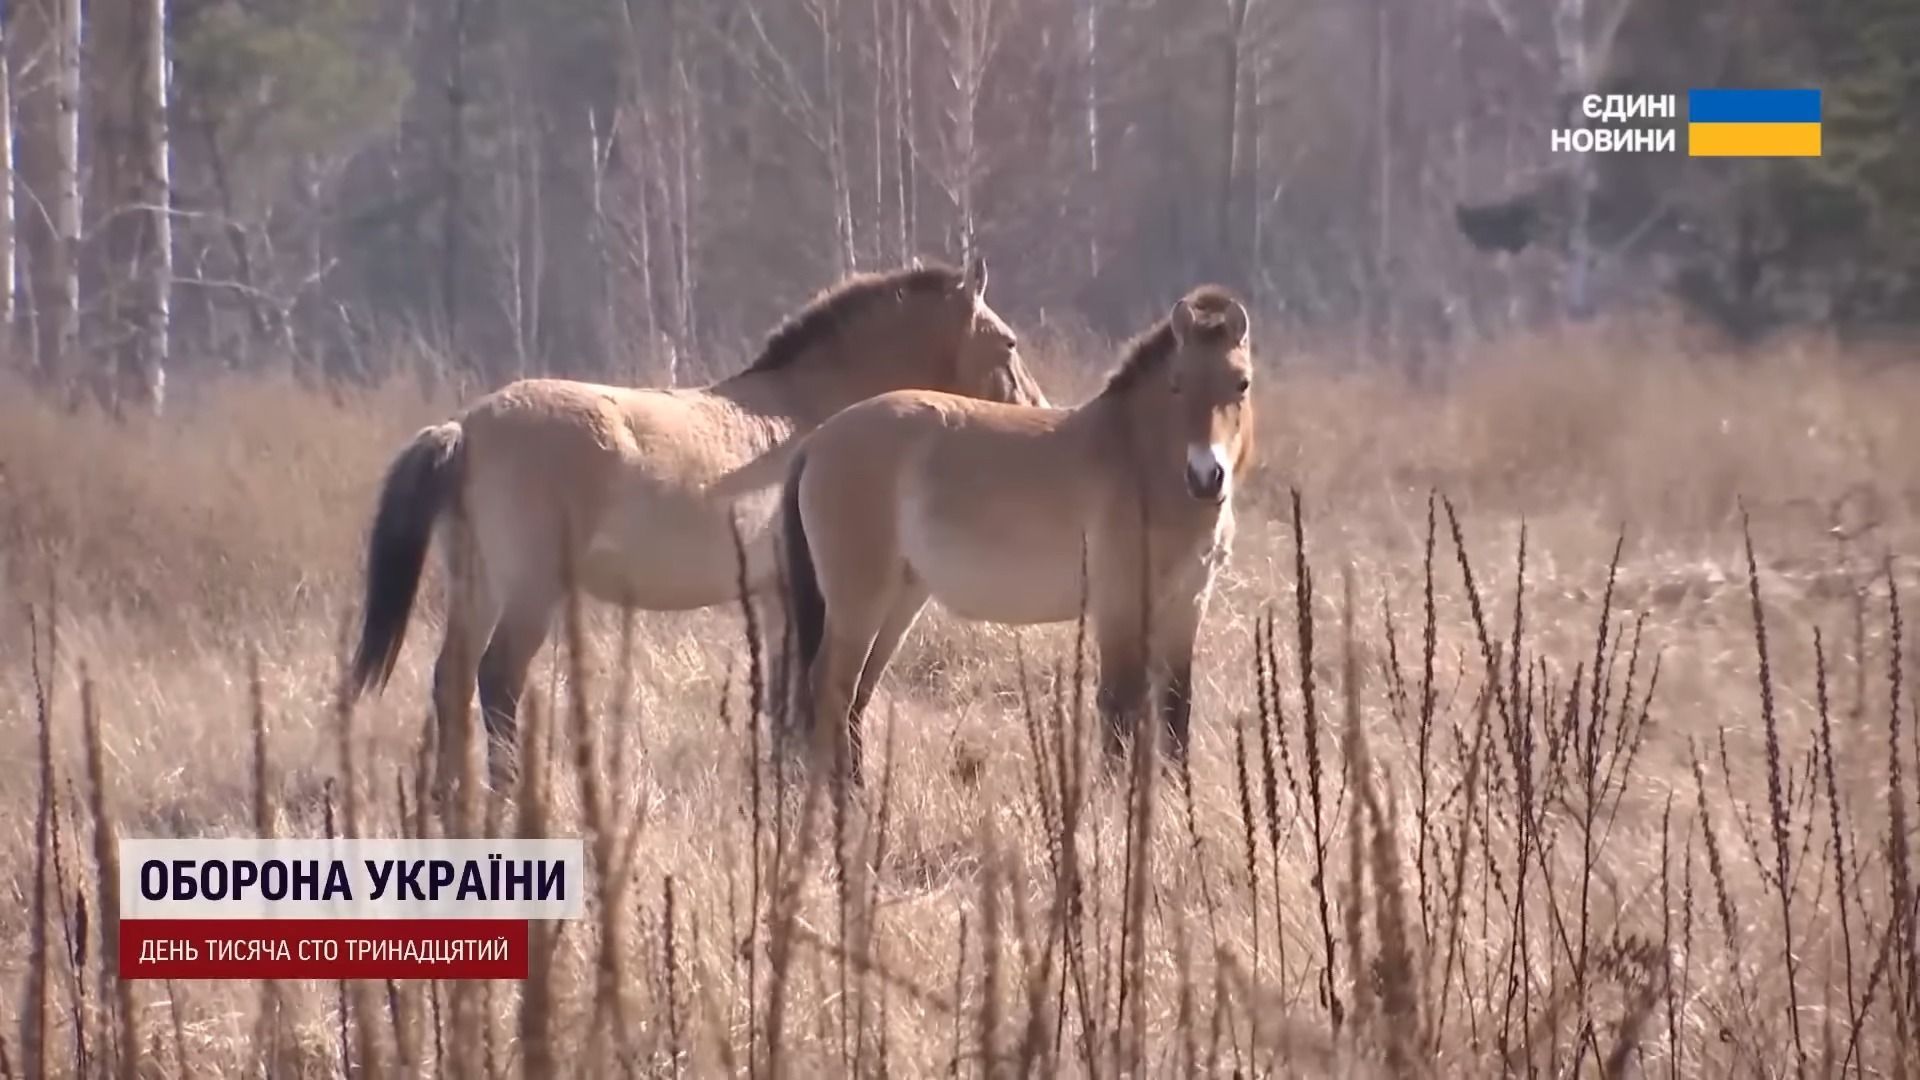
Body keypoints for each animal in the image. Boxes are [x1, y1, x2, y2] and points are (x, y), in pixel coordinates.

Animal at [353, 251, 1059, 791]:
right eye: (1008, 343)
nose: (1041, 412)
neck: (808, 412)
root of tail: (466, 429)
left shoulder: (775, 599)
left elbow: (780, 702)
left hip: (477, 585)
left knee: (450, 682)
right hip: (531, 591)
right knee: (496, 680)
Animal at [779, 282, 1259, 776]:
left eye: (1241, 383)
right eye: (1177, 383)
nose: (1206, 477)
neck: (1138, 462)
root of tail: (816, 441)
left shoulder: (1187, 607)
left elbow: (1176, 712)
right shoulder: (1119, 609)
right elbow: (1119, 710)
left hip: (899, 601)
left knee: (856, 695)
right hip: (859, 603)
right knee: (832, 690)